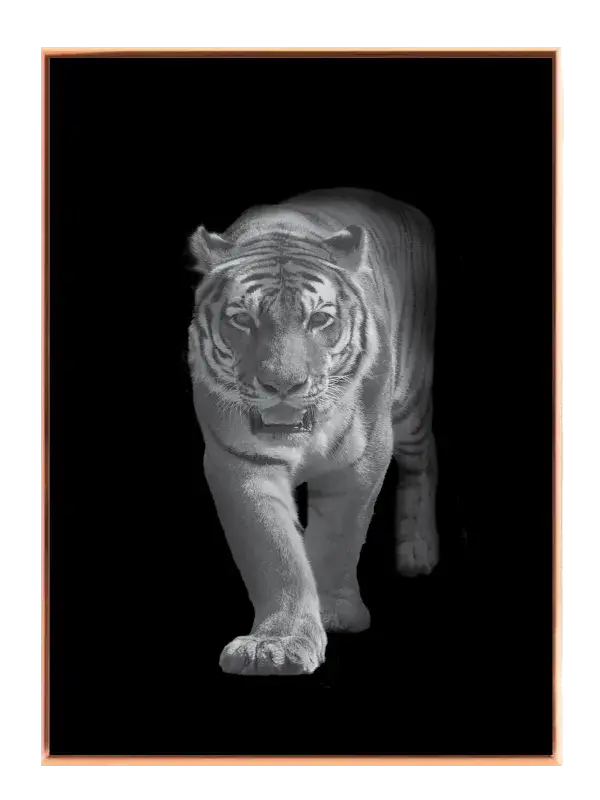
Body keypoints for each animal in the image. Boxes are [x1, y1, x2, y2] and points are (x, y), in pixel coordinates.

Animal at [188, 187, 438, 676]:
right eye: (242, 320)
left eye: (319, 320)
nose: (283, 385)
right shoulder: (239, 461)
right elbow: (274, 549)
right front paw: (277, 643)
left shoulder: (364, 455)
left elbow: (340, 535)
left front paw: (334, 613)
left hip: (411, 406)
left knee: (427, 458)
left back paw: (419, 552)